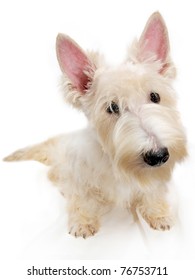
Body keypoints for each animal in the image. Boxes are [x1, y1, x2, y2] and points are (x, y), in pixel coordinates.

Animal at [3, 12, 187, 237]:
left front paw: (159, 214)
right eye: (112, 107)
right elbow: (80, 199)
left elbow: (152, 192)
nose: (158, 156)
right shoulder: (77, 177)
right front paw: (83, 223)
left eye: (155, 96)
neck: (115, 164)